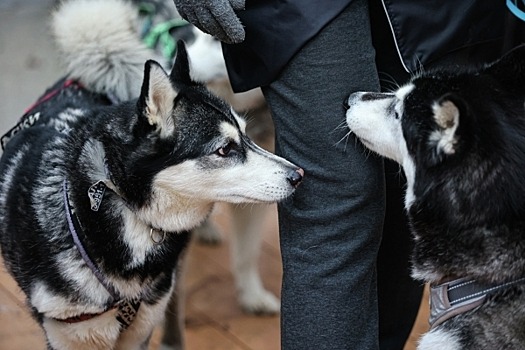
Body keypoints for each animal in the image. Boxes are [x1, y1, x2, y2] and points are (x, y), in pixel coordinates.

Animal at [0, 1, 302, 348]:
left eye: (245, 134)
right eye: (224, 149)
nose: (298, 174)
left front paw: (252, 295)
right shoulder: (72, 334)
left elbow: (246, 253)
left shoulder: (140, 325)